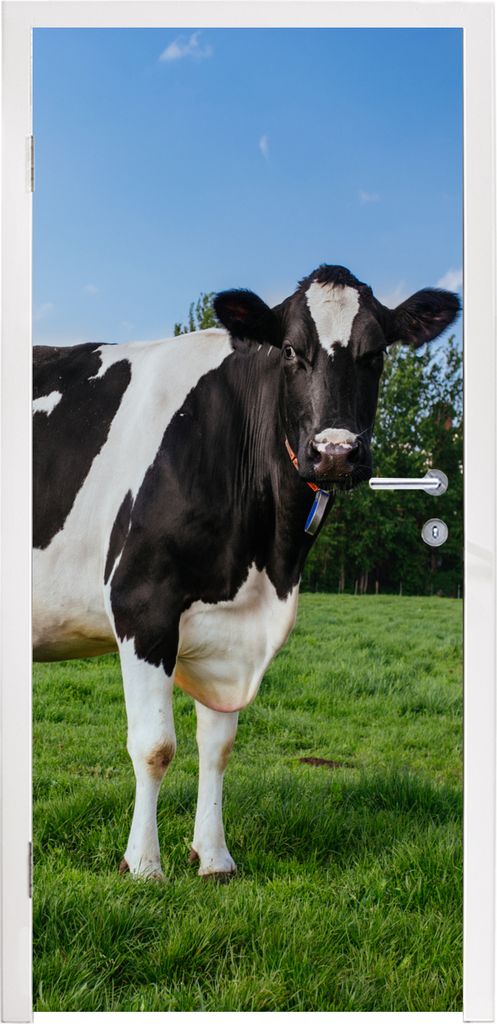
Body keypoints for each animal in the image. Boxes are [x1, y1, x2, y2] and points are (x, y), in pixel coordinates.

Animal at [33, 264, 459, 880]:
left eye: (377, 352)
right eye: (291, 349)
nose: (335, 452)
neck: (266, 565)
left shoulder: (227, 630)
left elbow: (218, 745)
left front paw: (213, 857)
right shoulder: (142, 603)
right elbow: (154, 746)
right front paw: (144, 864)